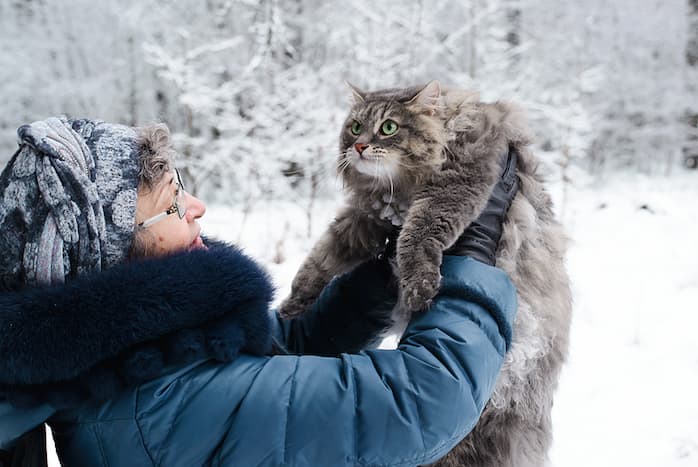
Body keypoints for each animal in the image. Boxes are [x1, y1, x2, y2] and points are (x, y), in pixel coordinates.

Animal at [278, 81, 572, 467]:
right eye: (355, 127)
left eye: (389, 127)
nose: (359, 146)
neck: (398, 189)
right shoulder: (363, 220)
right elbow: (318, 261)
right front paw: (291, 307)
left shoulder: (459, 179)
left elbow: (417, 235)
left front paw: (419, 284)